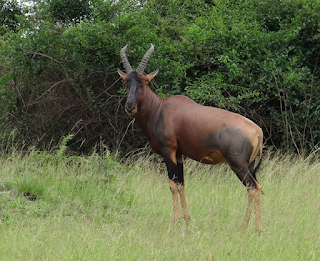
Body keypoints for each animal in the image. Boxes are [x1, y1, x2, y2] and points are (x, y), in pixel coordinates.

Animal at [117, 43, 262, 231]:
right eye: (126, 82)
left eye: (143, 82)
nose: (130, 106)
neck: (161, 109)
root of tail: (257, 130)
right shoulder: (179, 154)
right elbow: (181, 184)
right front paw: (186, 219)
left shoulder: (168, 151)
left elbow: (172, 184)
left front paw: (173, 221)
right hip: (249, 165)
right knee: (252, 189)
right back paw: (246, 225)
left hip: (238, 165)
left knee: (254, 188)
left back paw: (255, 228)